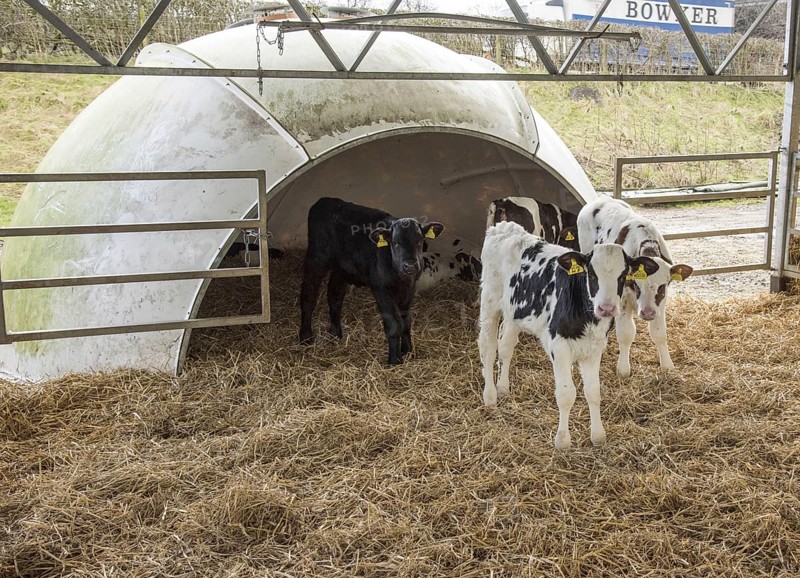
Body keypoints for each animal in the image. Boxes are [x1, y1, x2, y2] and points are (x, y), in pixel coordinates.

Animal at [299, 197, 444, 365]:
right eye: (395, 243)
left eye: (419, 242)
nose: (410, 265)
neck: (400, 277)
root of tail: (325, 200)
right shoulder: (381, 289)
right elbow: (395, 325)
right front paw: (394, 361)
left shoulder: (410, 289)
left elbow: (406, 321)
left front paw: (408, 351)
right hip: (316, 260)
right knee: (309, 296)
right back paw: (305, 336)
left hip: (341, 268)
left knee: (334, 298)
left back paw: (336, 335)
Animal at [478, 221, 657, 449]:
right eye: (591, 274)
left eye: (623, 274)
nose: (606, 308)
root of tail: (504, 227)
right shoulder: (560, 347)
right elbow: (566, 393)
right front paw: (563, 440)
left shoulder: (594, 348)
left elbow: (593, 392)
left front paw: (598, 435)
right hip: (490, 301)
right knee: (488, 348)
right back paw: (490, 395)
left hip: (514, 312)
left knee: (506, 347)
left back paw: (502, 387)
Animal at [577, 196, 693, 377]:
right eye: (636, 285)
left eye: (662, 286)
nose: (648, 313)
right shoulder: (623, 299)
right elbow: (626, 333)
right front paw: (623, 369)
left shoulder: (661, 302)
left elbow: (659, 332)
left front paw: (667, 365)